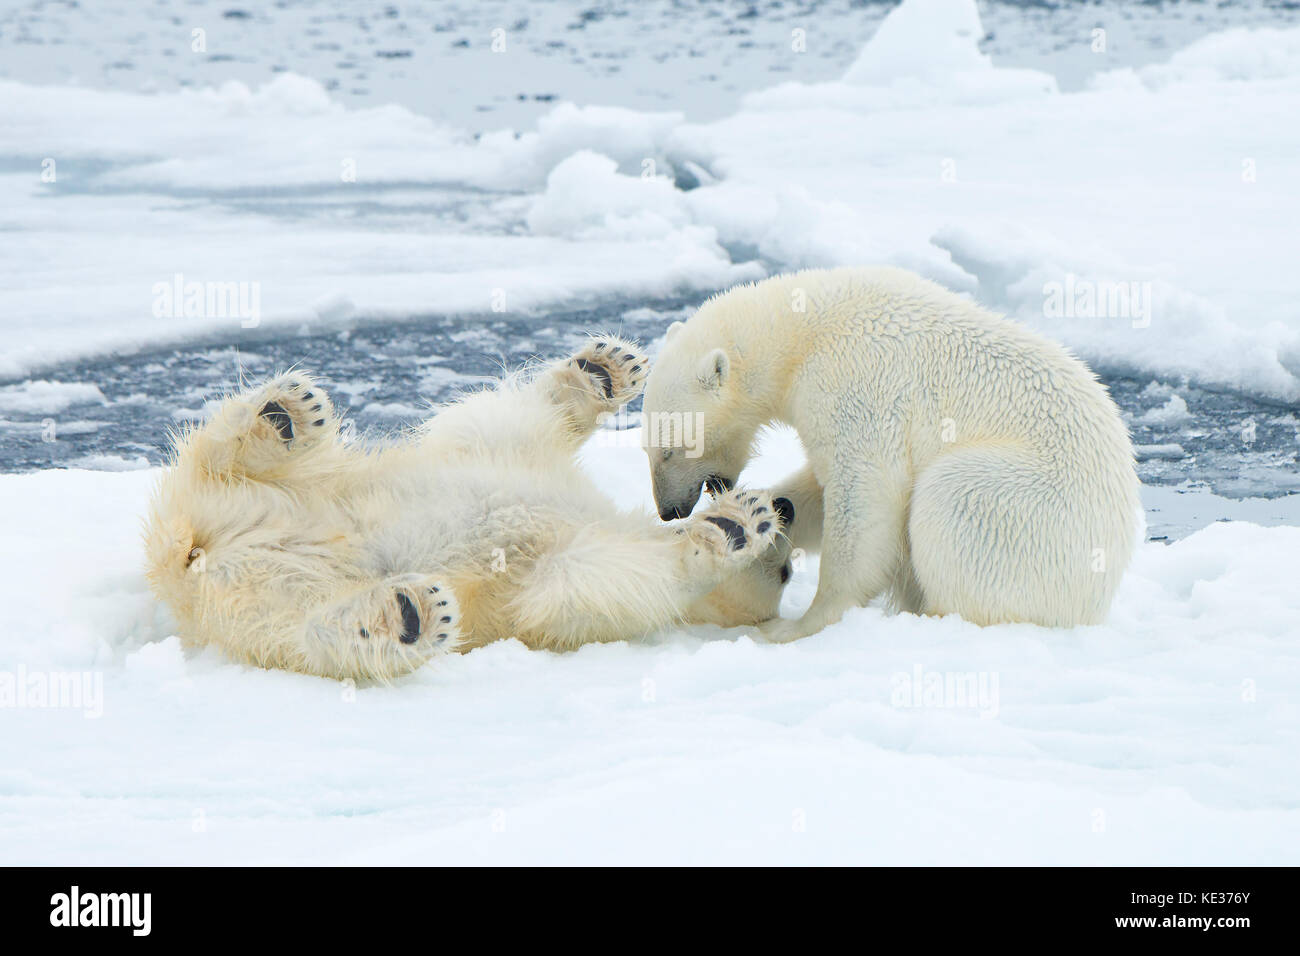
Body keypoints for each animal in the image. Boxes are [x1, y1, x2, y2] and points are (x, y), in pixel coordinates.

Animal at [142, 335, 790, 681]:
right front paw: (606, 369)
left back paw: (405, 613)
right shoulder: (505, 455)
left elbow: (586, 582)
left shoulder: (548, 582)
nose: (782, 504)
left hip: (257, 610)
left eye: (786, 570)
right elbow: (505, 421)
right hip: (290, 491)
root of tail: (194, 565)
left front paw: (732, 526)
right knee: (216, 461)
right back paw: (283, 416)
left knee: (310, 630)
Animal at [644, 267, 1144, 642]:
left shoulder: (856, 383)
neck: (802, 331)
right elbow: (816, 488)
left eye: (671, 450)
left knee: (953, 499)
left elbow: (864, 493)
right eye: (647, 445)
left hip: (1033, 508)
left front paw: (800, 624)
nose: (670, 511)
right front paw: (757, 514)